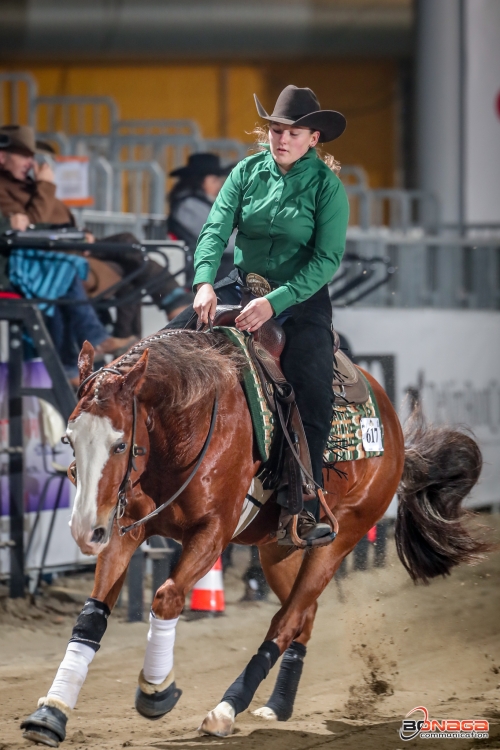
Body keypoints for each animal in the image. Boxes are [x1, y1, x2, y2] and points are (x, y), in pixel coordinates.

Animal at [20, 332, 484, 748]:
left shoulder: (212, 533)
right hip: (276, 549)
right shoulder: (124, 529)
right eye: (68, 439)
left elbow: (167, 597)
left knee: (287, 621)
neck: (188, 419)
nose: (84, 531)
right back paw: (277, 704)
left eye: (119, 445)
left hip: (342, 536)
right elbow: (91, 616)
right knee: (305, 616)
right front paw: (50, 714)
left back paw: (226, 710)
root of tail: (392, 423)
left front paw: (157, 691)